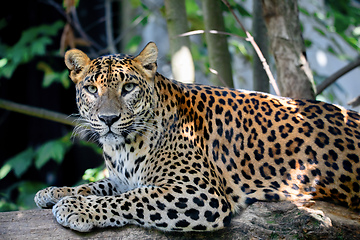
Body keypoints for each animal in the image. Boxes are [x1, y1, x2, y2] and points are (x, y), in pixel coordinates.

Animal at [34, 41, 360, 232]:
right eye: (91, 89)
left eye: (128, 88)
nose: (108, 119)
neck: (124, 147)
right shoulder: (121, 178)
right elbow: (98, 186)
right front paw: (55, 192)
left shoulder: (199, 192)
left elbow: (131, 198)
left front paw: (75, 208)